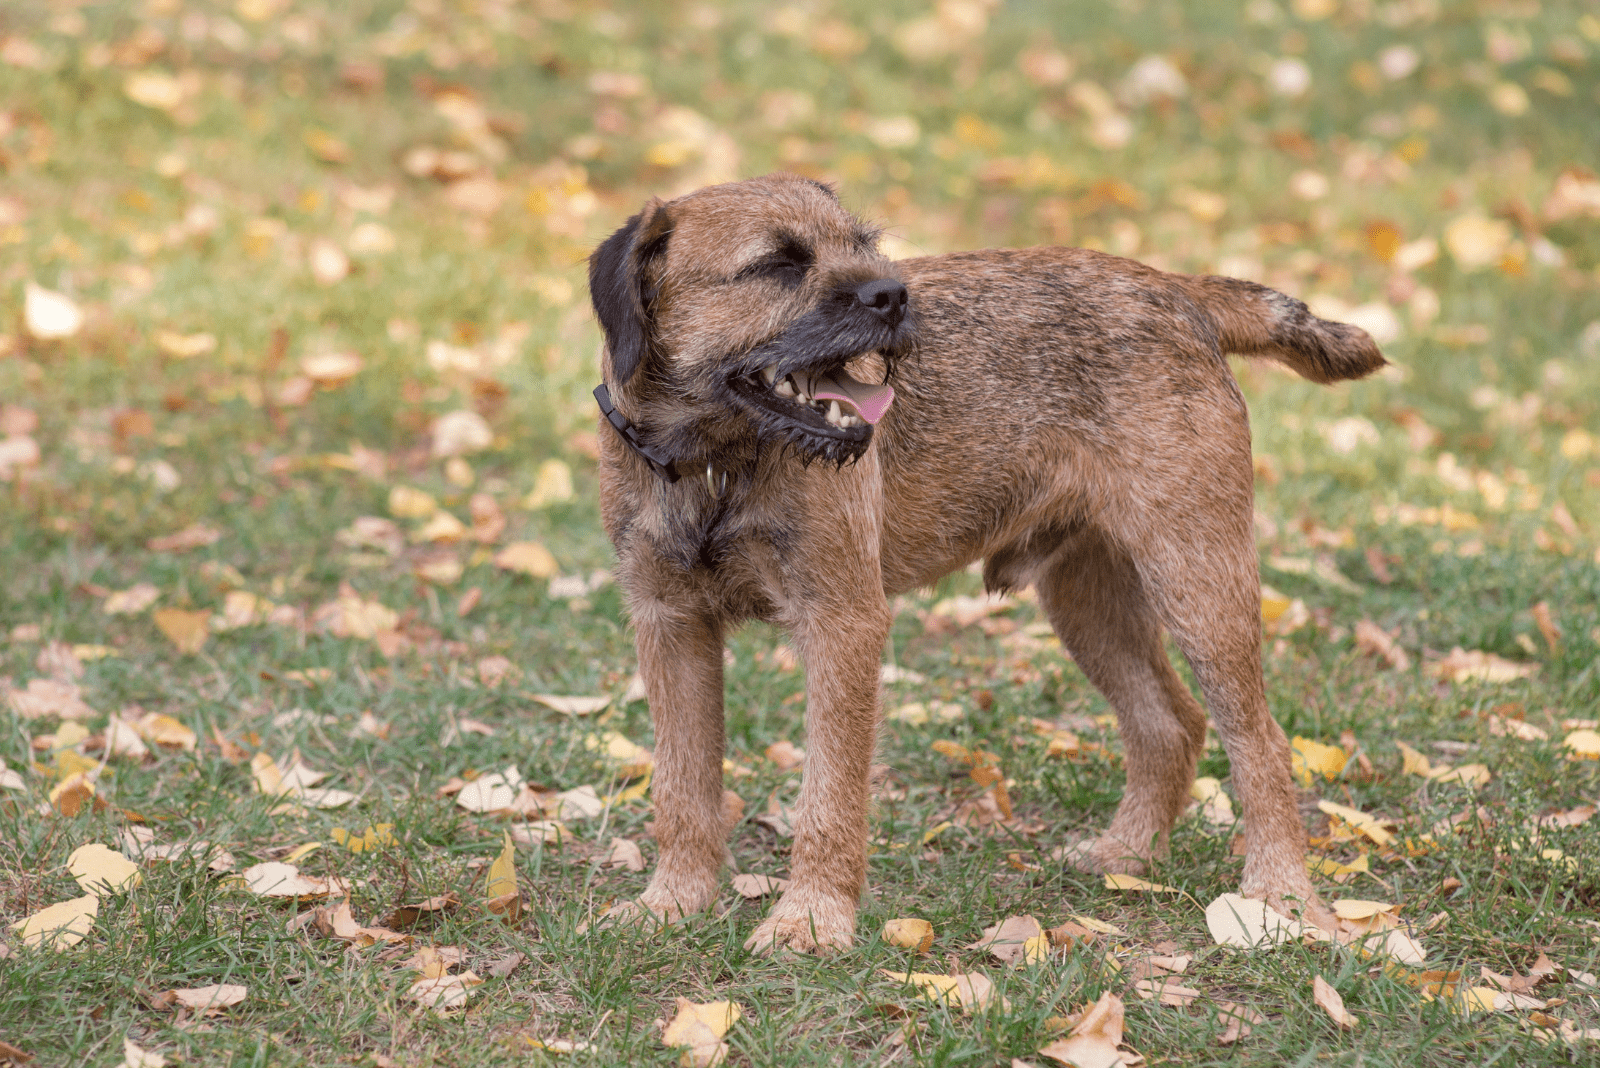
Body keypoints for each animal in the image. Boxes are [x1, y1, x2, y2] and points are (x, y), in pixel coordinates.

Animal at [582, 171, 1382, 952]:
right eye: (777, 264)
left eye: (864, 245)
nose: (894, 294)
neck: (715, 464)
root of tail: (1177, 287)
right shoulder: (670, 626)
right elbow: (682, 787)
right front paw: (673, 903)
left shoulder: (842, 623)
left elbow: (829, 794)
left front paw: (809, 921)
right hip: (1088, 600)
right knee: (1170, 723)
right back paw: (1126, 855)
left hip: (1198, 579)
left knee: (1260, 741)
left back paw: (1281, 898)